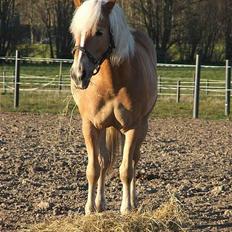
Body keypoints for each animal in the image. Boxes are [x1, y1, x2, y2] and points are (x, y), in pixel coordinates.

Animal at [70, 0, 158, 215]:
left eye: (99, 32)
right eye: (75, 33)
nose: (78, 75)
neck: (112, 83)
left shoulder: (133, 128)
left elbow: (126, 170)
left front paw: (126, 207)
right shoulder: (90, 126)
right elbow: (93, 169)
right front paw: (90, 208)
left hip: (142, 127)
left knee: (133, 160)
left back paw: (133, 201)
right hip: (105, 127)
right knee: (104, 162)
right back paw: (100, 203)